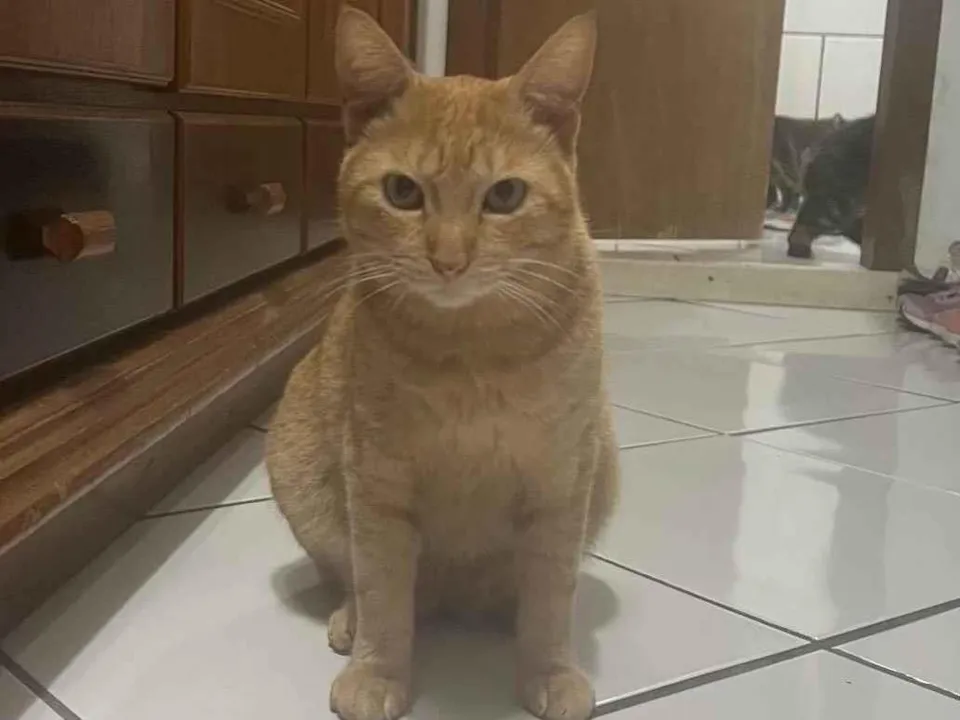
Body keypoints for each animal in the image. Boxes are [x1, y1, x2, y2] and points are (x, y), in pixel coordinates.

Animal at [265, 8, 618, 720]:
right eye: (403, 191)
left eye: (505, 196)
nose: (449, 261)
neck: (470, 355)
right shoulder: (376, 480)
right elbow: (381, 587)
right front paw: (377, 671)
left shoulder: (562, 479)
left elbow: (550, 596)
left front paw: (549, 669)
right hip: (296, 468)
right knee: (357, 577)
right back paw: (352, 620)